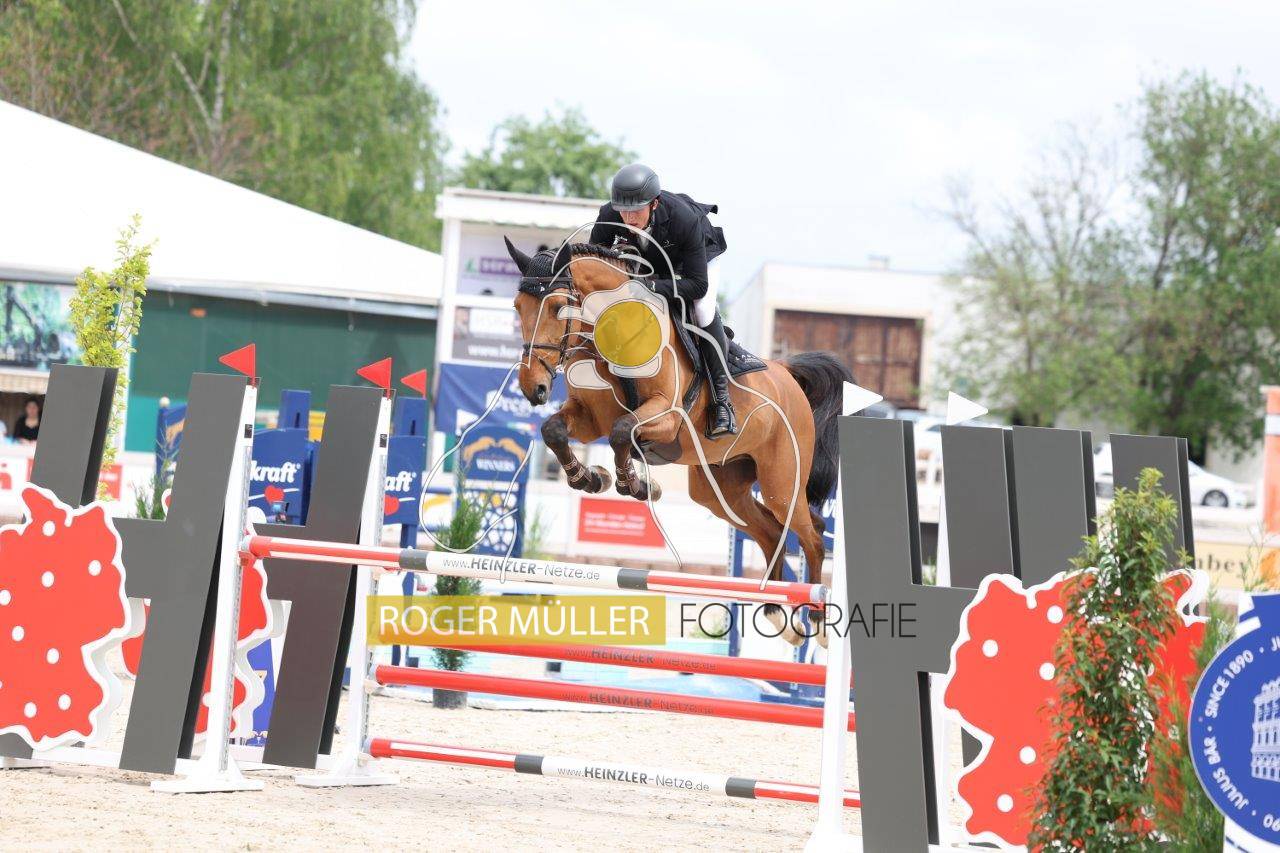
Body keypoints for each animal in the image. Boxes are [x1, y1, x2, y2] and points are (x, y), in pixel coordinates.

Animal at [506, 238, 851, 645]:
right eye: (517, 307)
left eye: (557, 306)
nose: (533, 388)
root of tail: (788, 375)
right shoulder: (590, 418)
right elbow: (556, 431)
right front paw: (589, 479)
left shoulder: (666, 417)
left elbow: (622, 431)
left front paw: (634, 485)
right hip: (719, 489)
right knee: (771, 533)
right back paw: (776, 614)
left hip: (781, 483)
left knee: (811, 532)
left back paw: (817, 621)